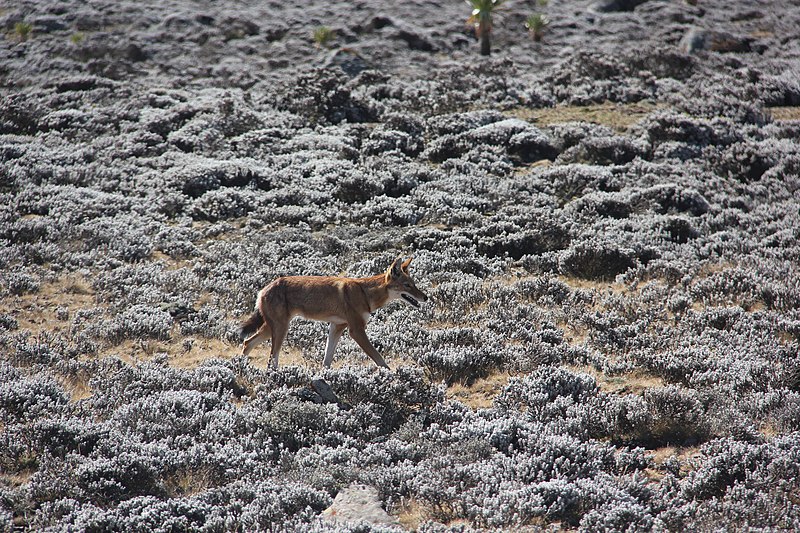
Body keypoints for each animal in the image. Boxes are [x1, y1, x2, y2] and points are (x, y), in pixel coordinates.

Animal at [239, 256, 428, 368]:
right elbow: (379, 359)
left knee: (247, 342)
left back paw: (241, 367)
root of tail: (263, 290)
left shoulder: (337, 327)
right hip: (280, 330)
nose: (425, 297)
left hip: (272, 329)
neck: (365, 293)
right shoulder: (356, 330)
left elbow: (327, 360)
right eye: (407, 285)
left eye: (414, 284)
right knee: (271, 358)